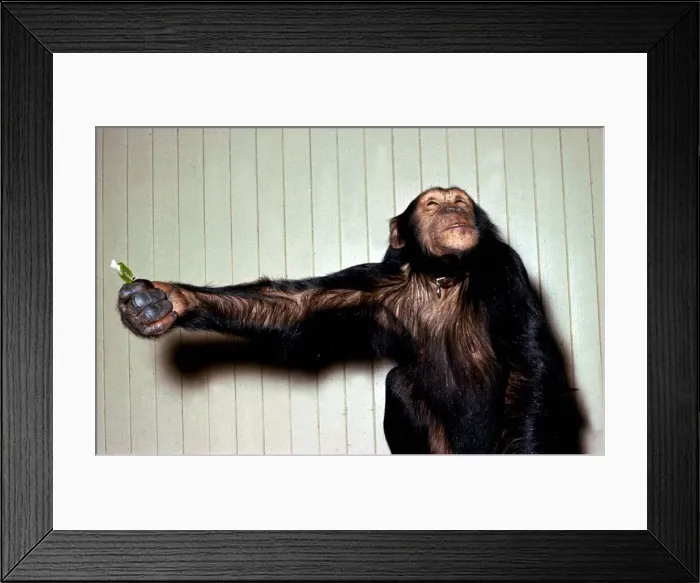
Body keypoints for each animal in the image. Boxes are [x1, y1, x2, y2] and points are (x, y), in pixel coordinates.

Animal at [117, 187, 582, 454]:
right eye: (434, 203)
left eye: (461, 202)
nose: (454, 210)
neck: (443, 276)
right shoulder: (373, 284)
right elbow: (298, 306)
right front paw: (162, 301)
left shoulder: (505, 270)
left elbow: (529, 366)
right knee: (401, 383)